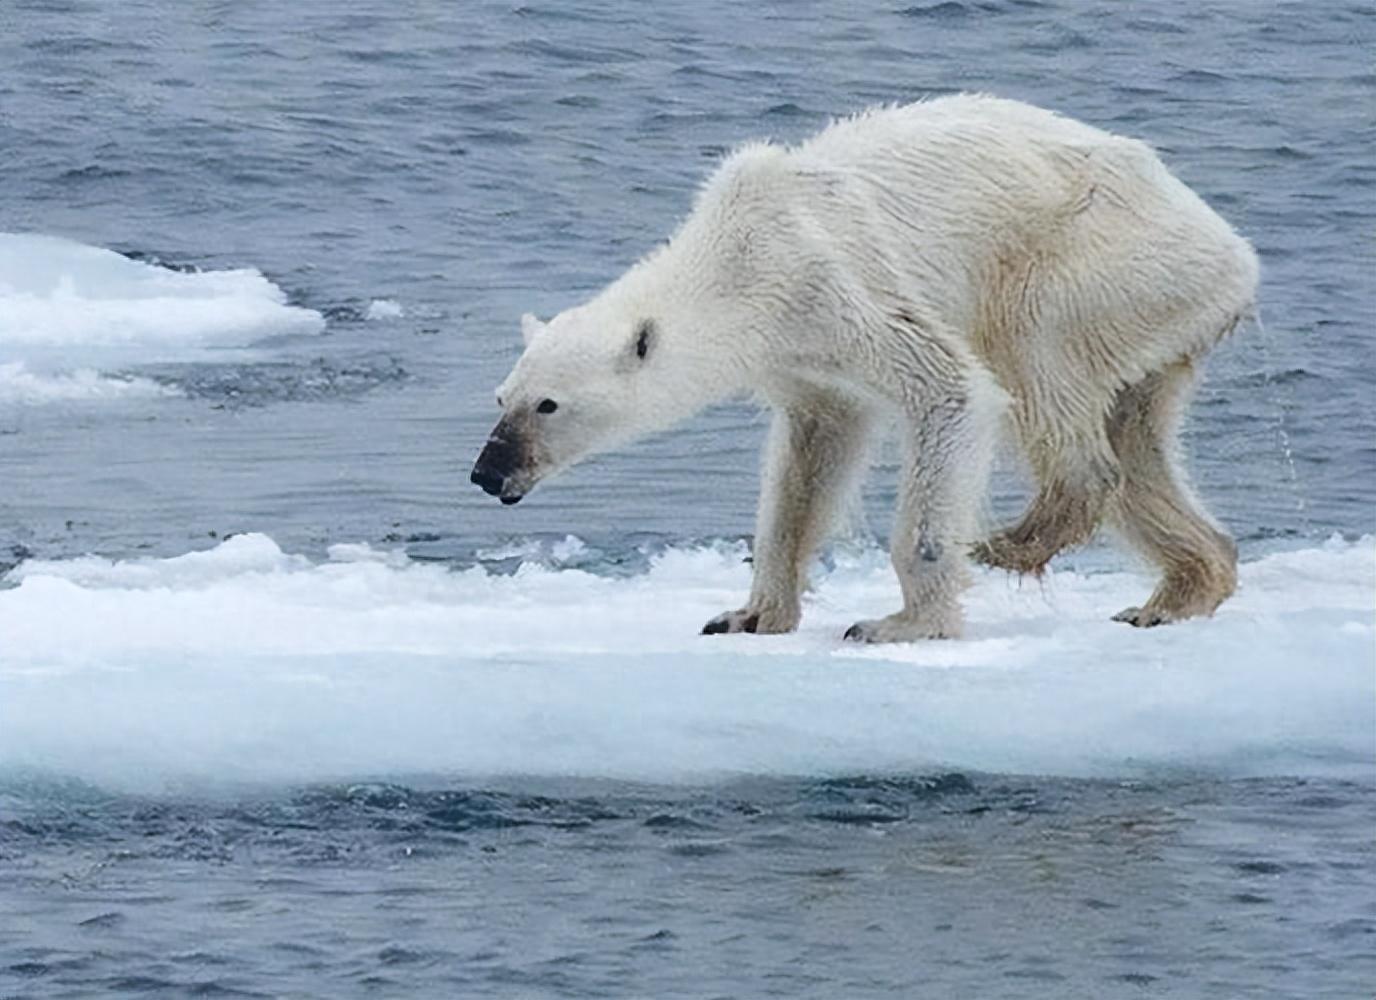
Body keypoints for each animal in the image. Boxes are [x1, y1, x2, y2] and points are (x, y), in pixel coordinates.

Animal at [473, 93, 1260, 640]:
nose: (487, 472)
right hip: (1158, 318)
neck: (738, 257)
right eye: (501, 397)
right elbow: (809, 460)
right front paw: (747, 614)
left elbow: (952, 391)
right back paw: (1176, 592)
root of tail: (1236, 253)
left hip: (1098, 262)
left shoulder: (835, 285)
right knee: (1137, 439)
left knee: (1037, 358)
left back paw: (1013, 540)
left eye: (548, 404)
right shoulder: (799, 356)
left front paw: (900, 623)